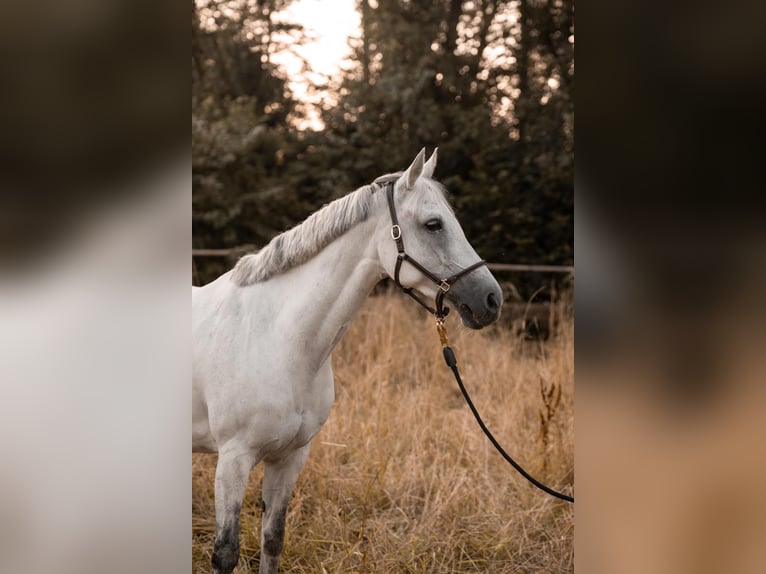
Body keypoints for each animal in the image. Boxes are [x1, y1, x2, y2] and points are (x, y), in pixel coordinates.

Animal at [192, 150, 504, 574]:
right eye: (433, 224)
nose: (492, 300)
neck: (277, 337)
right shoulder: (233, 459)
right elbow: (225, 553)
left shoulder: (291, 457)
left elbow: (273, 539)